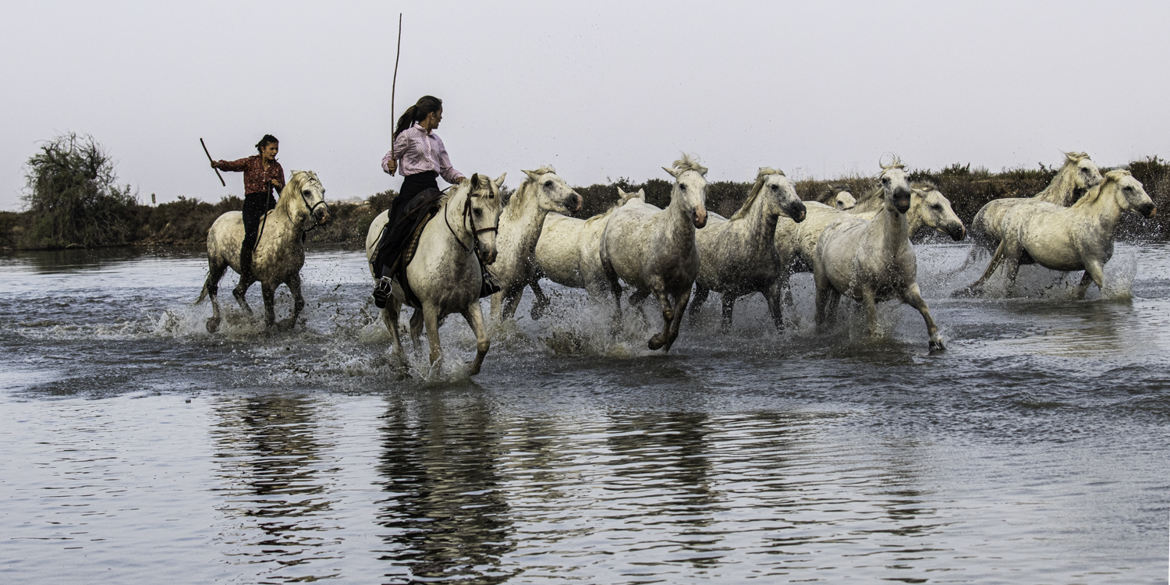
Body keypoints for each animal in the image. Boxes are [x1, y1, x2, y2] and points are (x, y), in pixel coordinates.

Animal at [194, 169, 327, 334]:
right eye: (307, 192)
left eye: (323, 191)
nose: (323, 215)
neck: (283, 235)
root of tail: (217, 221)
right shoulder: (268, 282)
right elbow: (270, 316)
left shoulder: (292, 276)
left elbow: (299, 303)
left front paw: (286, 325)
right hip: (217, 263)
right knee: (213, 287)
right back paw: (214, 322)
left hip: (249, 275)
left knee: (238, 292)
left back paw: (251, 319)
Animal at [362, 173, 505, 374]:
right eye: (477, 211)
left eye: (499, 212)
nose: (489, 253)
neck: (452, 256)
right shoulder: (430, 307)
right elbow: (437, 355)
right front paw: (435, 378)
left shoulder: (470, 303)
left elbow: (483, 343)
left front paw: (469, 369)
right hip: (390, 296)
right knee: (393, 326)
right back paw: (403, 362)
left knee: (413, 326)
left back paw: (417, 361)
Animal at [687, 168, 809, 329]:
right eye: (774, 186)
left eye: (793, 186)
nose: (801, 211)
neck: (752, 245)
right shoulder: (728, 295)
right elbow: (725, 328)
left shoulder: (772, 291)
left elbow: (780, 325)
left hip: (703, 286)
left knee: (693, 309)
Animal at [964, 169, 1155, 297]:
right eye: (1128, 188)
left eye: (1141, 185)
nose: (1151, 208)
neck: (1096, 223)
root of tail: (1011, 213)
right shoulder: (1093, 263)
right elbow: (1106, 289)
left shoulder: (1091, 267)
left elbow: (1079, 292)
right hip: (1013, 256)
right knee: (1008, 284)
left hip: (1025, 257)